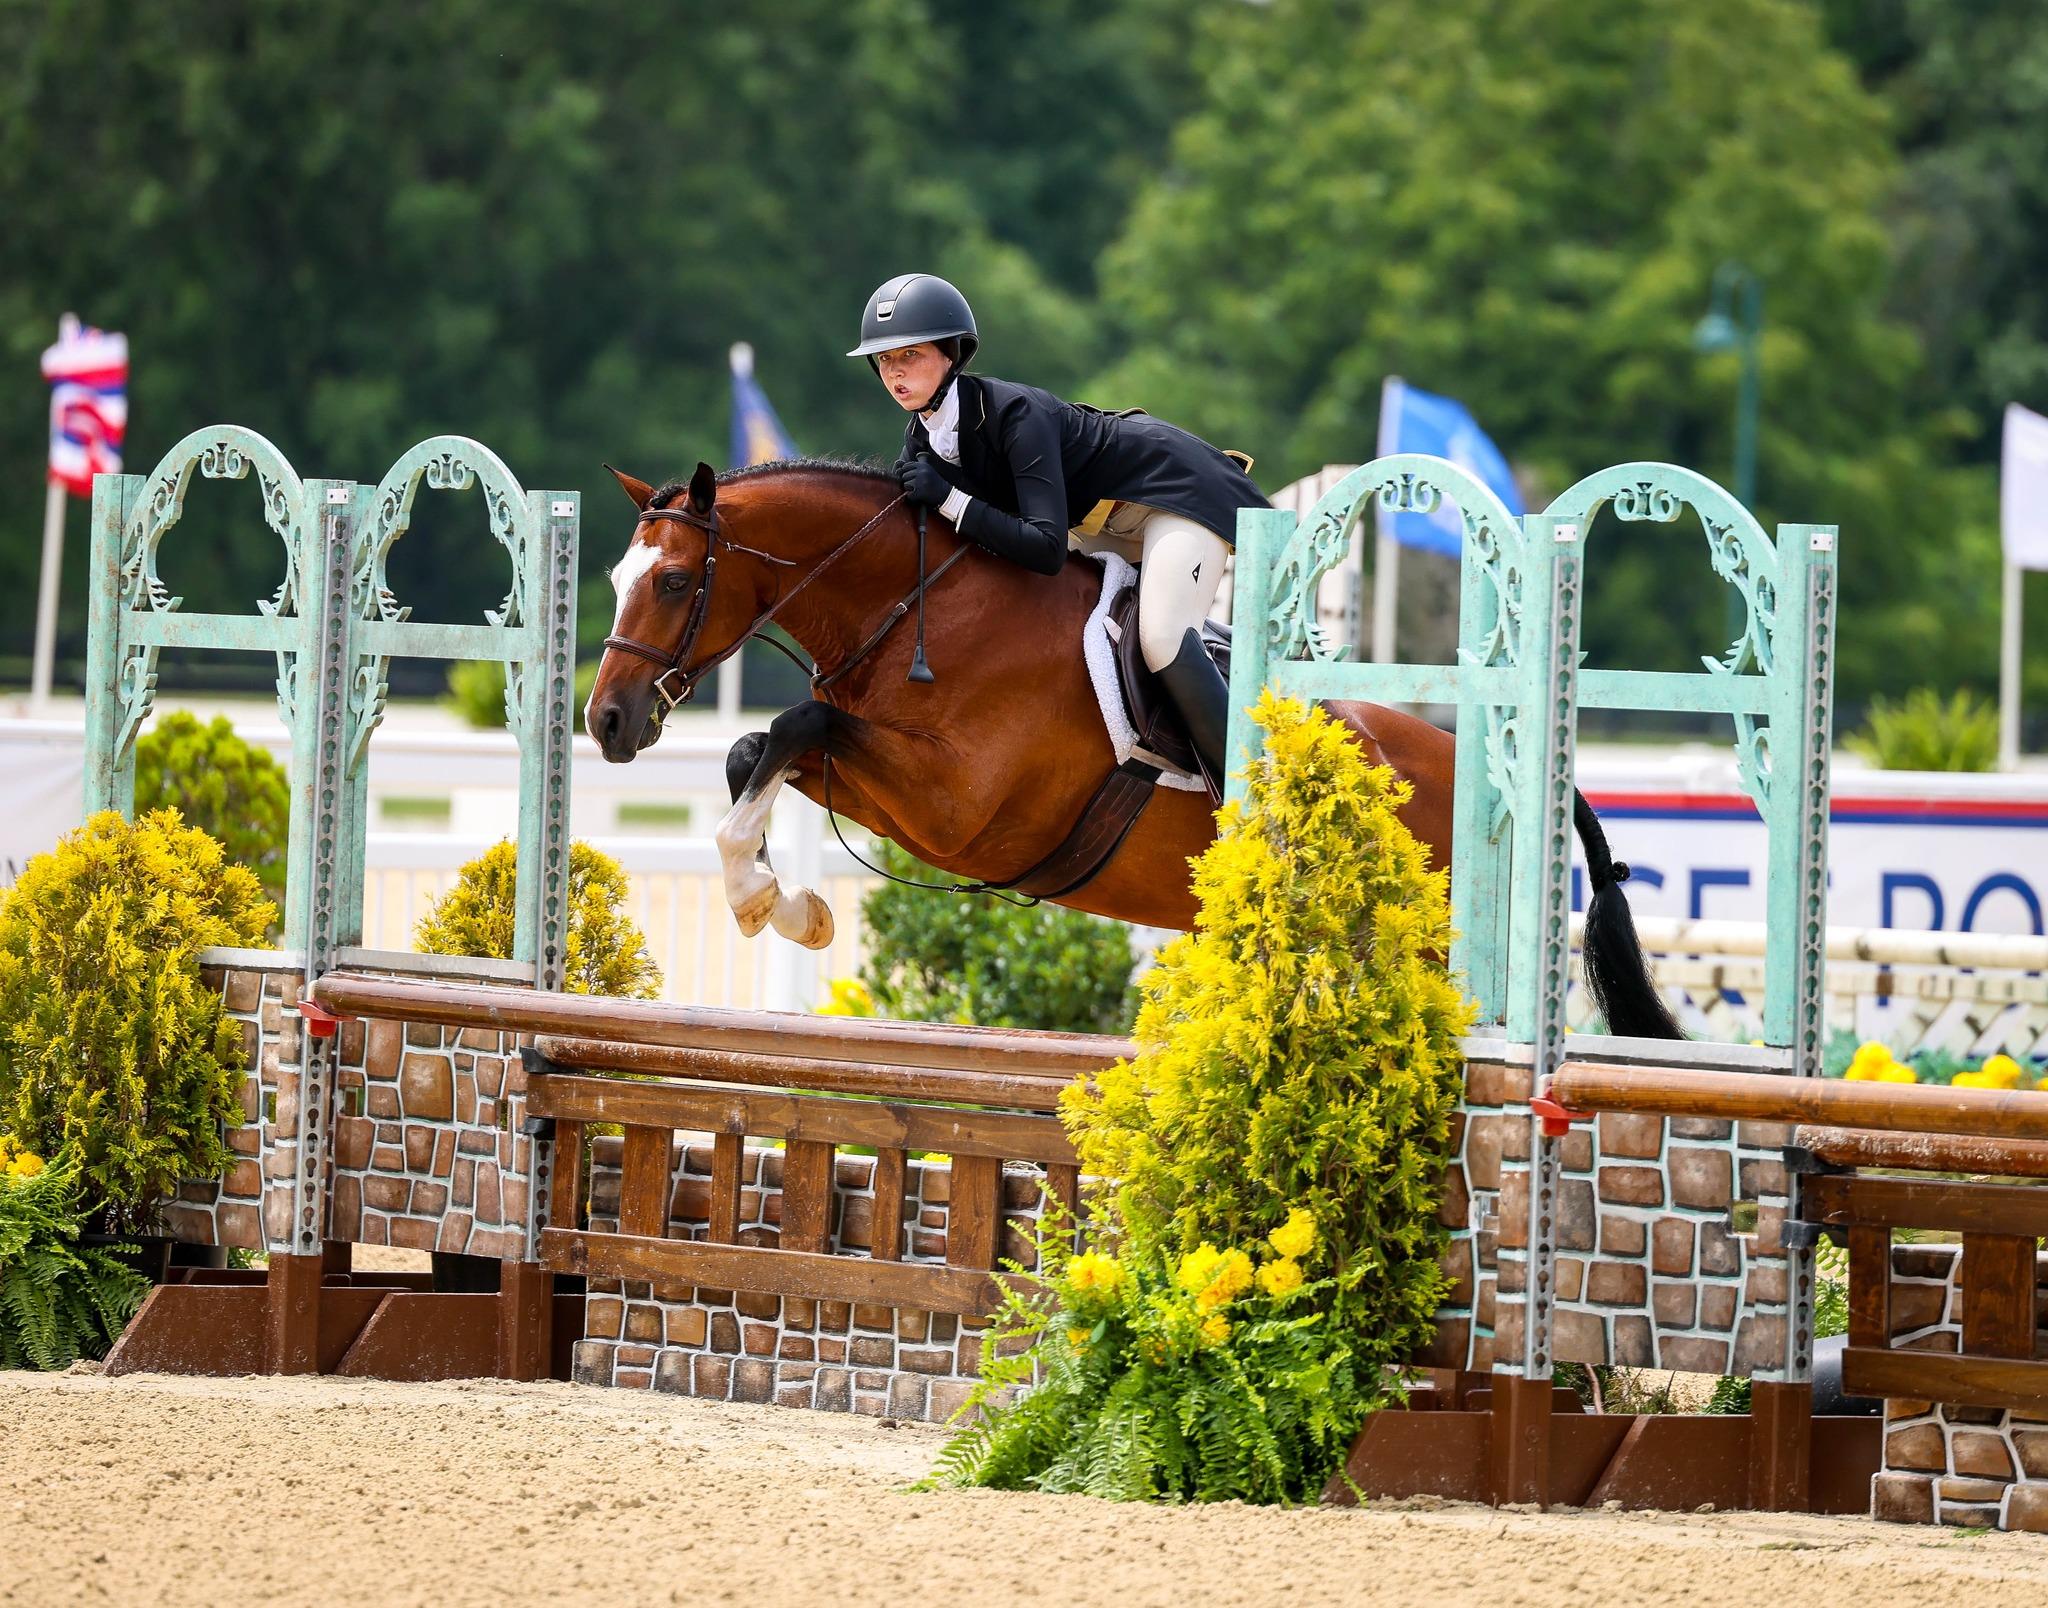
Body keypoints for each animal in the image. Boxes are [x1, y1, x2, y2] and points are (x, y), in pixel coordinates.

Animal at [584, 457, 1681, 1039]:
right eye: (614, 577)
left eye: (674, 582)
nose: (606, 723)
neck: (914, 607)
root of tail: (1498, 778)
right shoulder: (897, 787)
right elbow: (754, 753)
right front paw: (788, 903)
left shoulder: (957, 807)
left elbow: (793, 728)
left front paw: (763, 897)